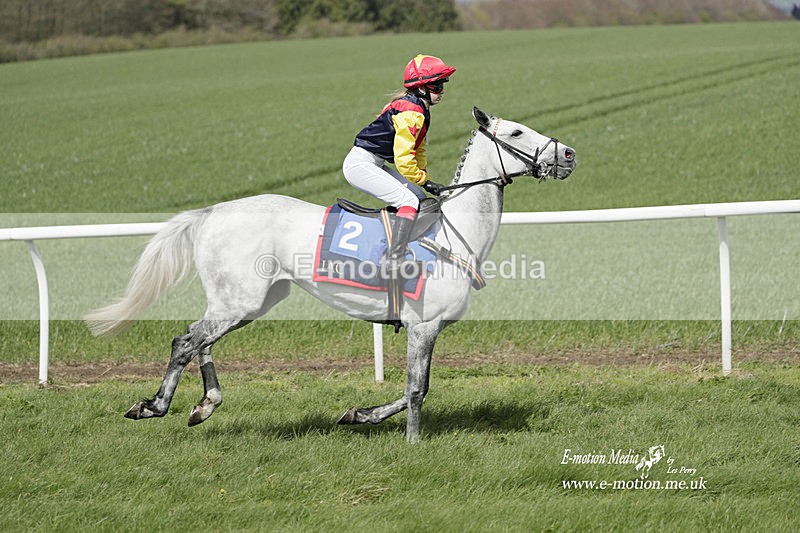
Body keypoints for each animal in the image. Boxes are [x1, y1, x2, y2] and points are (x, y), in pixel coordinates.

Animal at [85, 107, 576, 443]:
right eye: (516, 131)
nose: (568, 154)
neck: (453, 237)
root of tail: (212, 213)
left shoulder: (428, 328)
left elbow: (415, 389)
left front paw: (359, 415)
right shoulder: (424, 325)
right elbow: (417, 389)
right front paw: (413, 442)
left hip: (249, 302)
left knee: (199, 339)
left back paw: (205, 405)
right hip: (240, 300)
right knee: (186, 340)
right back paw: (153, 406)